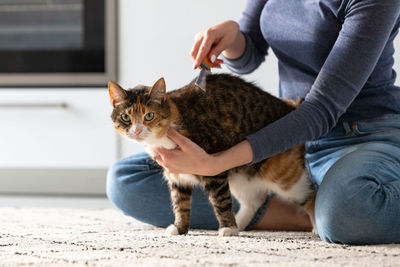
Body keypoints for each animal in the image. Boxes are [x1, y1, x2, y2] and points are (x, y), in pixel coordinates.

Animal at [108, 73, 316, 237]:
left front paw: (228, 229)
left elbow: (221, 200)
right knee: (254, 200)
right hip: (240, 176)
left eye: (149, 116)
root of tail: (290, 107)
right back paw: (240, 223)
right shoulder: (176, 175)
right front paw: (180, 228)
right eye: (125, 117)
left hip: (283, 176)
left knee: (310, 193)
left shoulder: (212, 167)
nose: (137, 130)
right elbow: (180, 203)